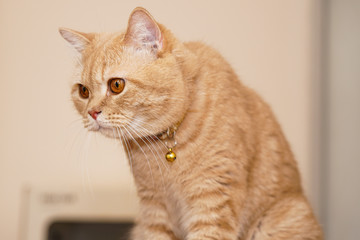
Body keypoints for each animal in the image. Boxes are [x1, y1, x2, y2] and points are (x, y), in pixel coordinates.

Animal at [59, 6, 324, 239]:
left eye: (116, 85)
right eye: (83, 91)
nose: (92, 112)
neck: (167, 143)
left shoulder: (212, 203)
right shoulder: (154, 213)